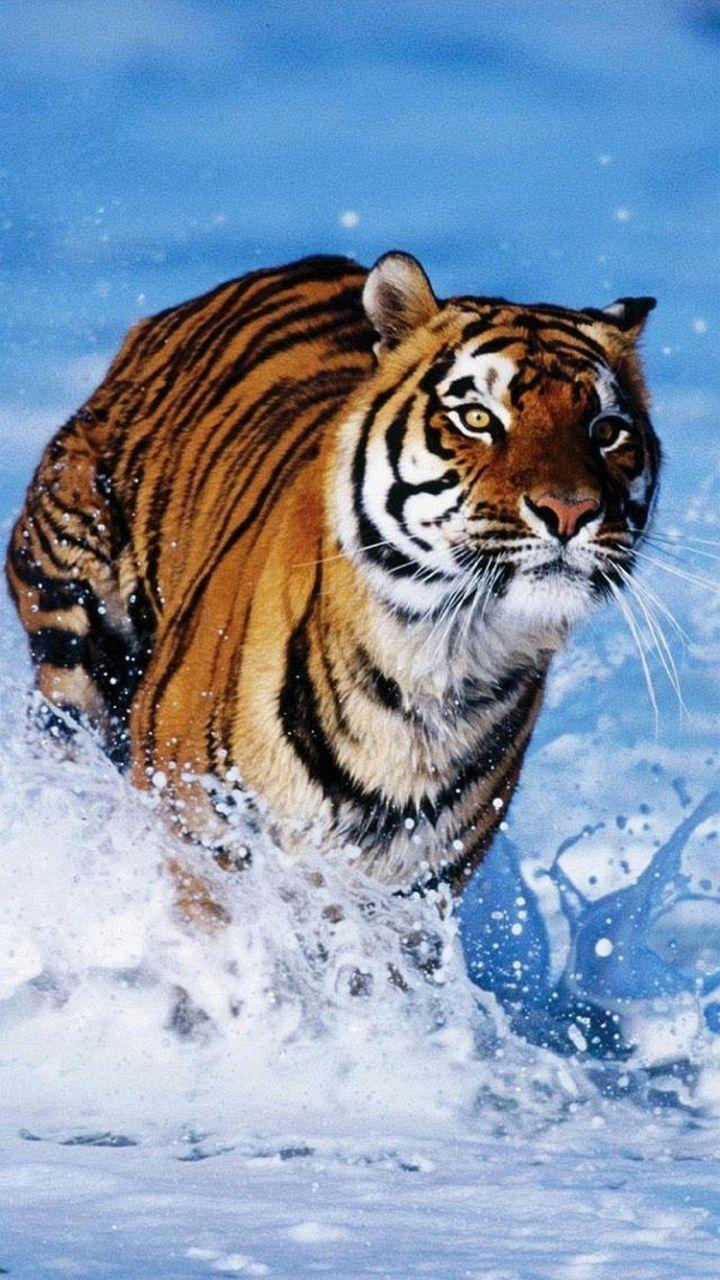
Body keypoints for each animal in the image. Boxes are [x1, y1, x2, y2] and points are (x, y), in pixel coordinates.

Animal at [6, 251, 660, 917]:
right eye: (477, 417)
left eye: (606, 430)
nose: (571, 511)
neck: (438, 665)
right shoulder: (200, 836)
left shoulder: (414, 892)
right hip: (74, 641)